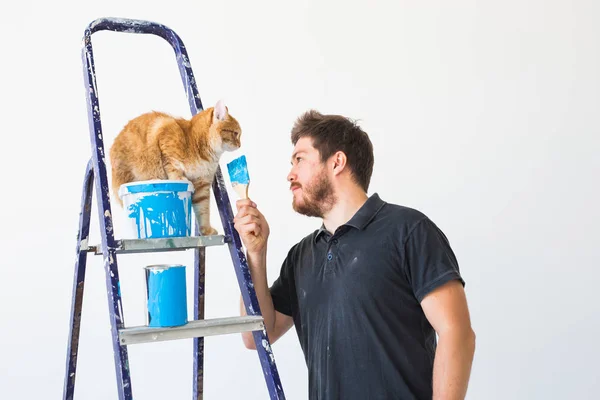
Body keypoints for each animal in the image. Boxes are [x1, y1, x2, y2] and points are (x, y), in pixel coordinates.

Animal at [109, 100, 240, 236]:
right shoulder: (165, 133)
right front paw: (178, 178)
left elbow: (203, 210)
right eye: (235, 133)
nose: (240, 145)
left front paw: (206, 230)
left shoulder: (202, 186)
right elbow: (172, 166)